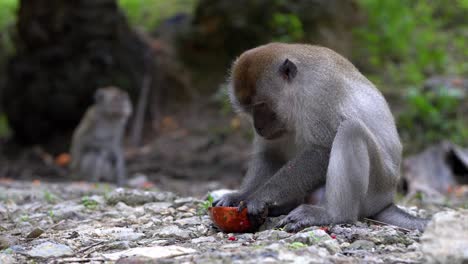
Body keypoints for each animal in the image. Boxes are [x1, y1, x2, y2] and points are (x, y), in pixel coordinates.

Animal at [214, 42, 430, 231]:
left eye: (262, 106)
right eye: (249, 110)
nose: (258, 126)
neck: (298, 87)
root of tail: (387, 201)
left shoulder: (319, 94)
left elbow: (323, 150)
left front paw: (259, 197)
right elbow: (270, 154)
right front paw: (240, 195)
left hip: (376, 188)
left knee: (351, 130)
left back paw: (332, 214)